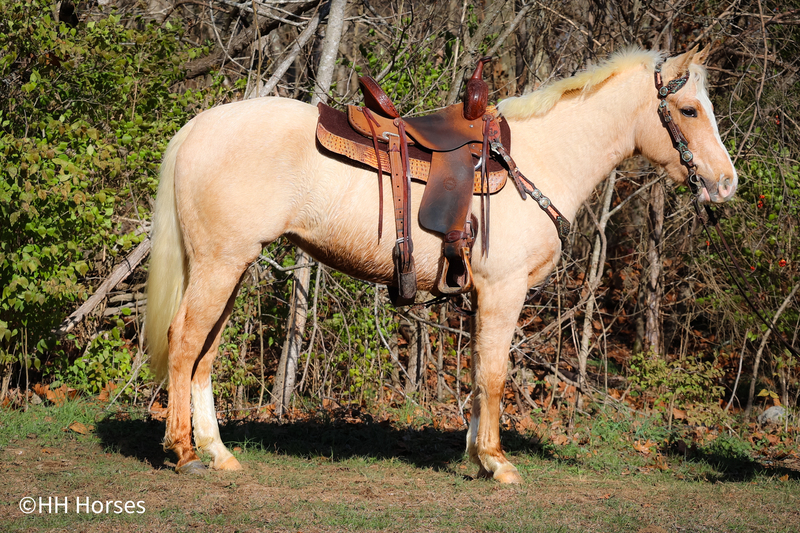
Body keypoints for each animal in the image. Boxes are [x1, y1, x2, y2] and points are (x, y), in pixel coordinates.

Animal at [145, 46, 736, 482]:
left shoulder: (481, 296)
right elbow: (494, 375)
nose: (726, 184)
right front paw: (497, 463)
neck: (538, 159)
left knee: (204, 352)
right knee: (183, 340)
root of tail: (197, 127)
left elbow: (477, 373)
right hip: (221, 265)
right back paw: (184, 451)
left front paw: (474, 457)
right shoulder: (503, 291)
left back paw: (218, 452)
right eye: (689, 110)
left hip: (228, 267)